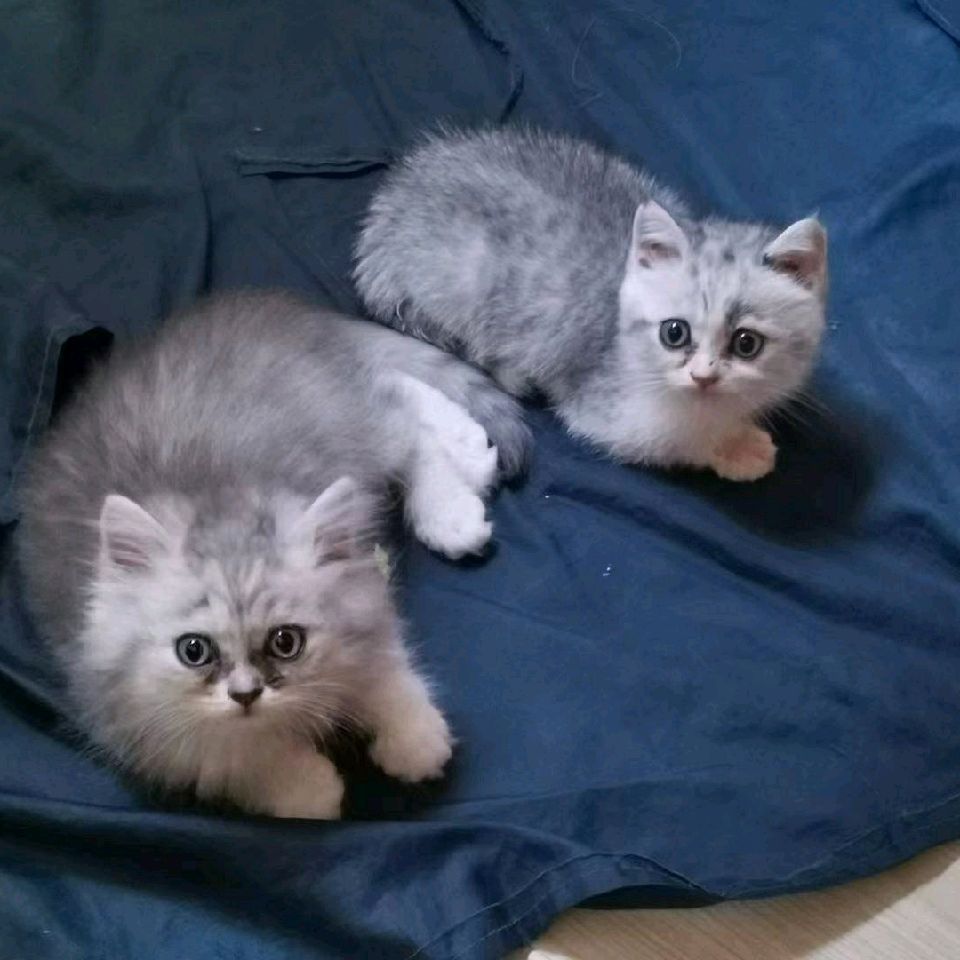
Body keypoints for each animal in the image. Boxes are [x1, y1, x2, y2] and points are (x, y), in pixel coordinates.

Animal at [17, 291, 530, 819]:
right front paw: (308, 785)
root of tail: (267, 308)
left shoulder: (364, 597)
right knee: (395, 394)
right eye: (193, 651)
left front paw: (414, 737)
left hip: (346, 422)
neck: (217, 497)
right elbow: (231, 757)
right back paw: (470, 455)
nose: (246, 694)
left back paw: (457, 499)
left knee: (402, 419)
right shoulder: (130, 718)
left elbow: (383, 671)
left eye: (286, 642)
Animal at [354, 126, 828, 481]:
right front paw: (735, 447)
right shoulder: (605, 410)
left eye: (747, 343)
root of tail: (391, 202)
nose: (704, 377)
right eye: (674, 333)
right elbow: (673, 441)